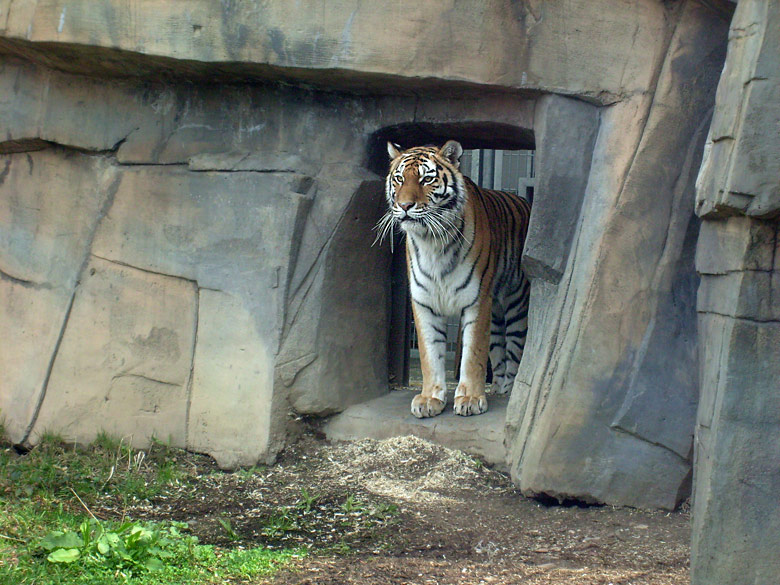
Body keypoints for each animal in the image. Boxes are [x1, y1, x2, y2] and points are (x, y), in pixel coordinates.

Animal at [376, 140, 532, 418]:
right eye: (399, 179)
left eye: (427, 179)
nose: (404, 206)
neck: (432, 242)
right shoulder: (424, 302)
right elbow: (430, 354)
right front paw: (430, 398)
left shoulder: (477, 301)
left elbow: (473, 355)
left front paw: (470, 398)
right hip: (496, 311)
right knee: (499, 351)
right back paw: (498, 389)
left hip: (516, 303)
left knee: (515, 349)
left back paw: (510, 391)